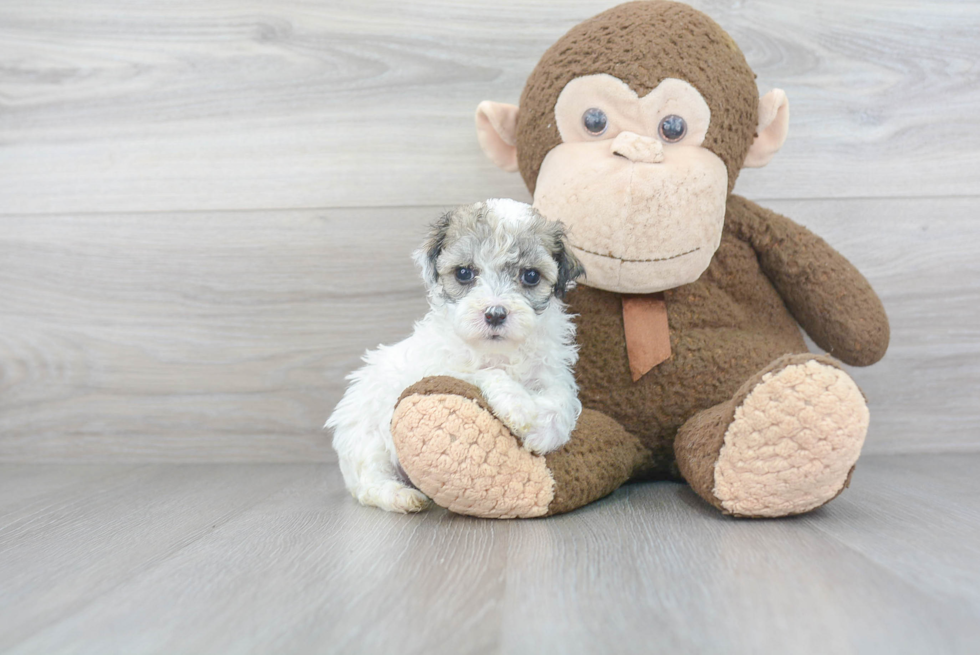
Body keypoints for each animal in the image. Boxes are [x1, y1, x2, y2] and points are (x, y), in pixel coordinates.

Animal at [330, 197, 584, 516]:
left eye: (531, 276)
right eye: (464, 273)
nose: (495, 314)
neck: (499, 351)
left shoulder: (551, 371)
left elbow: (561, 400)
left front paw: (543, 434)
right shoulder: (441, 368)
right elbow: (486, 372)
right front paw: (519, 408)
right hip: (366, 438)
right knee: (370, 482)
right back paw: (402, 496)